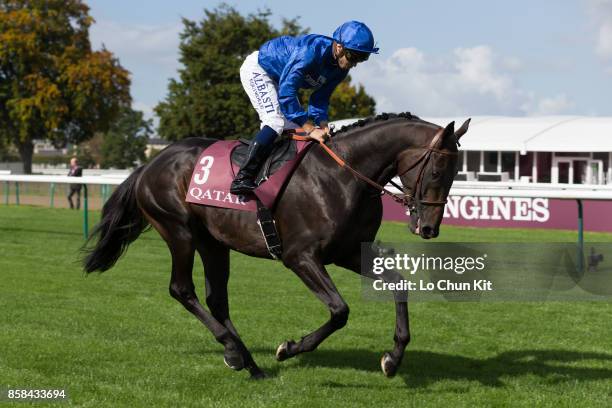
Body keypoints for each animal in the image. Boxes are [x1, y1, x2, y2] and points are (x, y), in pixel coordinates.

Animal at [83, 111, 470, 380]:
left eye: (456, 174)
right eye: (438, 171)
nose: (429, 227)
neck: (343, 176)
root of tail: (150, 163)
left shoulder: (348, 252)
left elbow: (399, 284)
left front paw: (393, 358)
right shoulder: (300, 256)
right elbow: (339, 311)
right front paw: (290, 348)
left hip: (214, 241)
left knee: (216, 299)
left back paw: (248, 362)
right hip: (178, 230)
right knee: (181, 289)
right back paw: (233, 350)